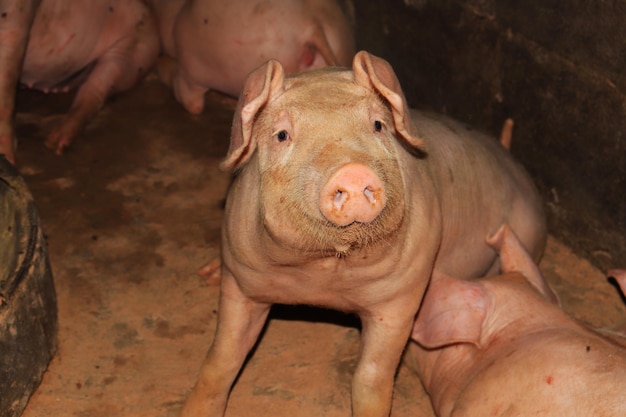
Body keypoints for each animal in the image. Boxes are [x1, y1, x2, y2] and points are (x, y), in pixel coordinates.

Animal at [0, 0, 158, 162]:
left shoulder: (17, 18)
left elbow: (6, 82)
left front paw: (7, 159)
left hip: (133, 49)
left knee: (95, 89)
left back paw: (55, 145)